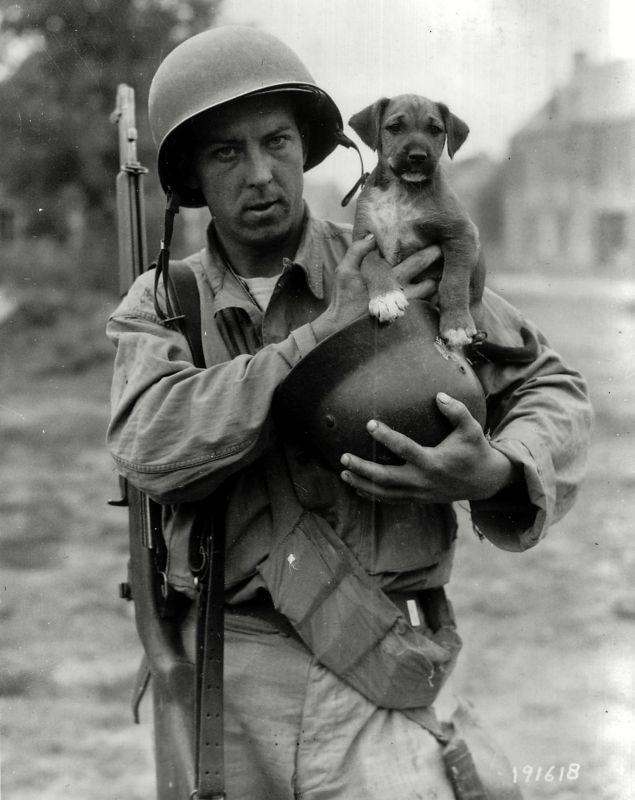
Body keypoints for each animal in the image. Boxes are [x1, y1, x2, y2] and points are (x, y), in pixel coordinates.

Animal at [350, 94, 484, 346]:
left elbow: (454, 280)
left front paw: (457, 324)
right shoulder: (363, 239)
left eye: (434, 130)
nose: (418, 157)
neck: (402, 190)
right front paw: (386, 298)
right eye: (395, 127)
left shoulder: (461, 234)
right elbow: (373, 264)